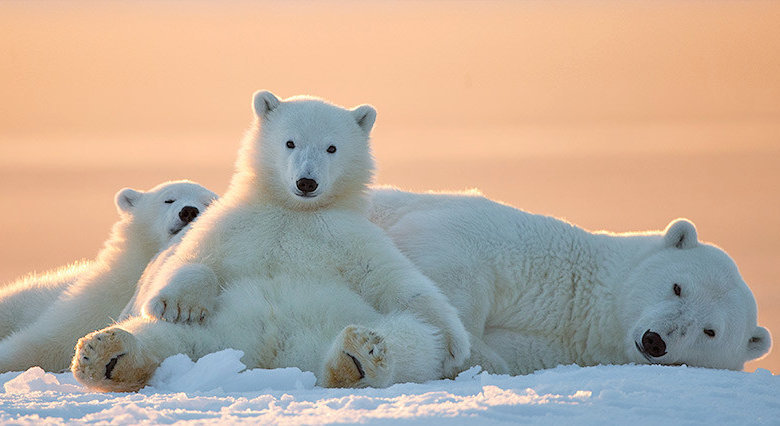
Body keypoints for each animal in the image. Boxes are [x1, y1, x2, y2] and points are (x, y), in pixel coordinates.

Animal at [73, 91, 472, 392]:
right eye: (290, 142)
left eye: (332, 148)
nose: (306, 182)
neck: (294, 212)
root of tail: (273, 359)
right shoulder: (239, 222)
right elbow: (188, 259)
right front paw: (180, 304)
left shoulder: (347, 234)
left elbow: (397, 280)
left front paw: (455, 343)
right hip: (215, 331)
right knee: (164, 336)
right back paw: (105, 353)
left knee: (411, 340)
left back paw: (359, 356)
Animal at [368, 188, 772, 374]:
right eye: (677, 287)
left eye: (710, 331)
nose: (655, 341)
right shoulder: (515, 241)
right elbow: (449, 256)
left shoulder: (557, 349)